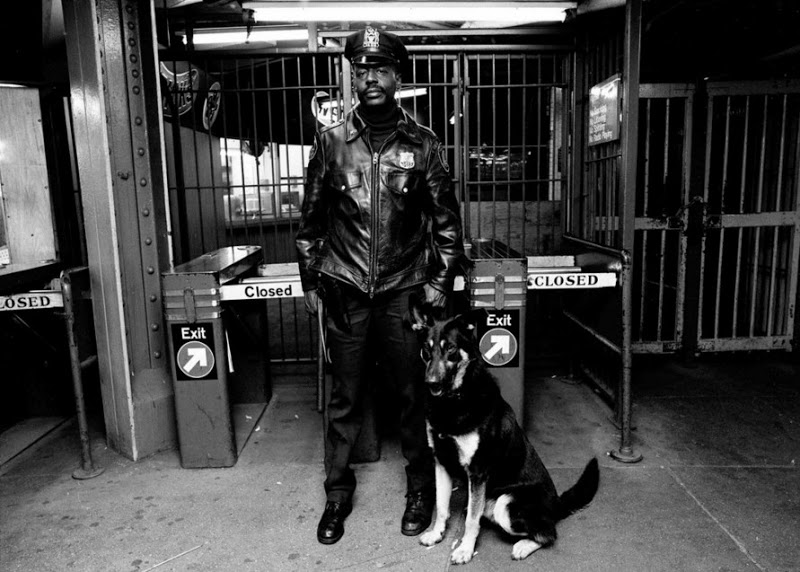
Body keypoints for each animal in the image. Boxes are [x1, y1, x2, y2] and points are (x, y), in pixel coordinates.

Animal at [410, 300, 596, 564]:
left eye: (451, 350)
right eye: (427, 350)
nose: (431, 383)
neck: (454, 401)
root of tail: (556, 504)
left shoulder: (477, 472)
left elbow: (470, 521)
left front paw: (465, 549)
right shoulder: (441, 461)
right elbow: (442, 506)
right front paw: (437, 533)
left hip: (506, 504)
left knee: (548, 532)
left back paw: (523, 546)